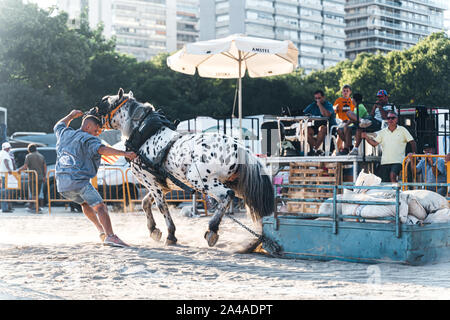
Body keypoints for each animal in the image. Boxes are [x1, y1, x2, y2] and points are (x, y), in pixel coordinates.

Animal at [89, 89, 272, 251]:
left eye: (104, 102)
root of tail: (238, 147)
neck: (144, 135)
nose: (90, 112)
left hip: (201, 181)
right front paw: (153, 230)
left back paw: (212, 230)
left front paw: (170, 235)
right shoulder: (162, 185)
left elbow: (162, 207)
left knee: (227, 196)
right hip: (237, 185)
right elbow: (145, 202)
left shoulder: (152, 183)